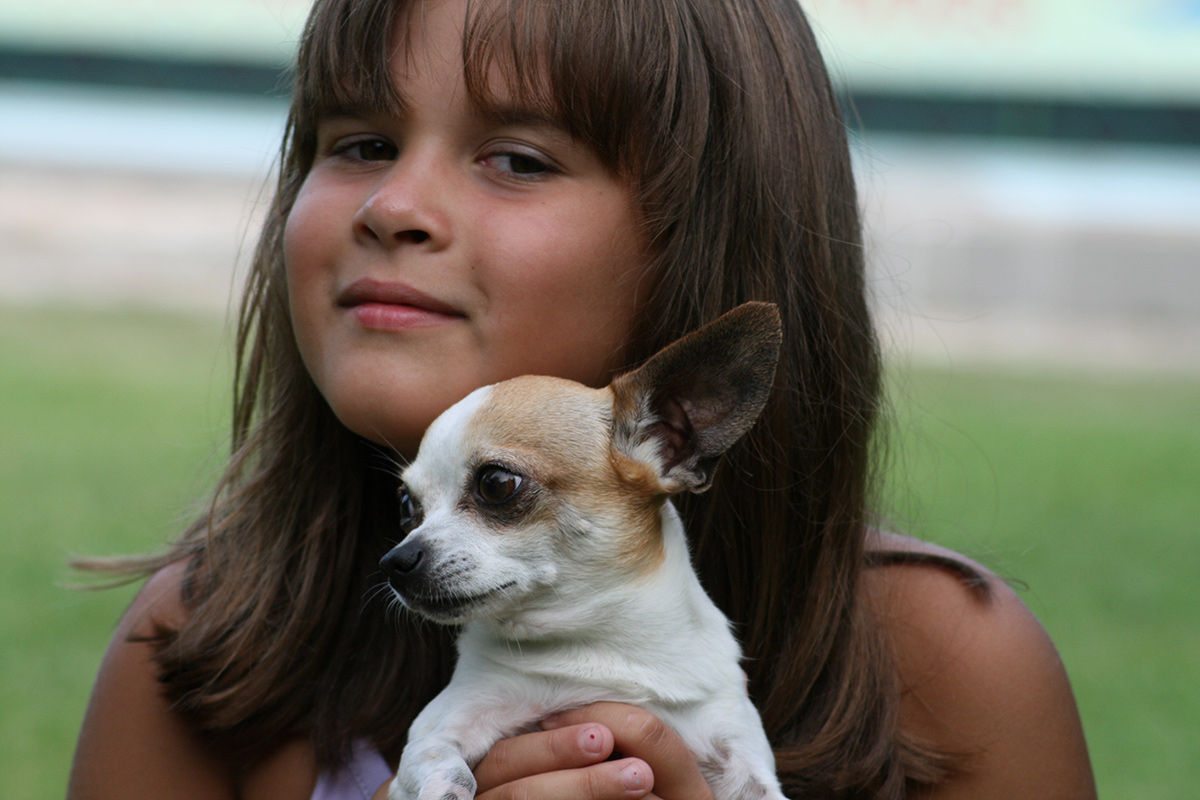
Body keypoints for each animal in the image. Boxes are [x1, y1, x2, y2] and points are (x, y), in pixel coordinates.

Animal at [379, 303, 782, 796]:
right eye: (406, 507)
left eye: (496, 483)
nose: (396, 561)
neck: (599, 645)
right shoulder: (439, 729)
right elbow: (444, 772)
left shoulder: (739, 751)